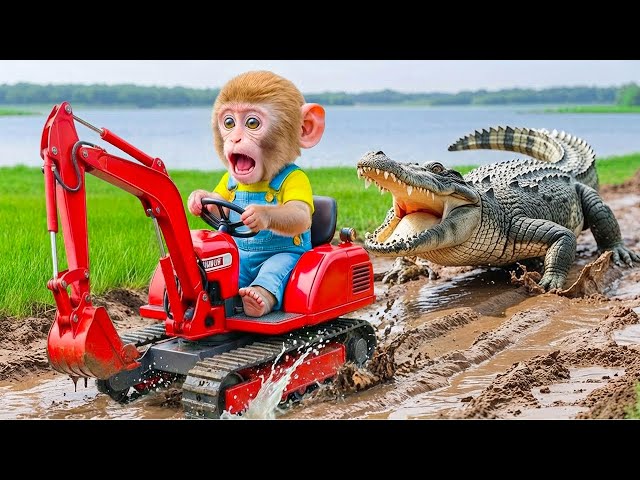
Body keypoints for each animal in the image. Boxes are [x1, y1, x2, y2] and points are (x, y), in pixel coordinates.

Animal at [187, 70, 326, 317]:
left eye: (252, 123)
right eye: (229, 122)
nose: (235, 138)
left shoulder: (298, 180)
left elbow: (299, 213)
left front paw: (258, 214)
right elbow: (218, 202)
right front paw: (196, 198)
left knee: (275, 267)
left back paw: (255, 298)